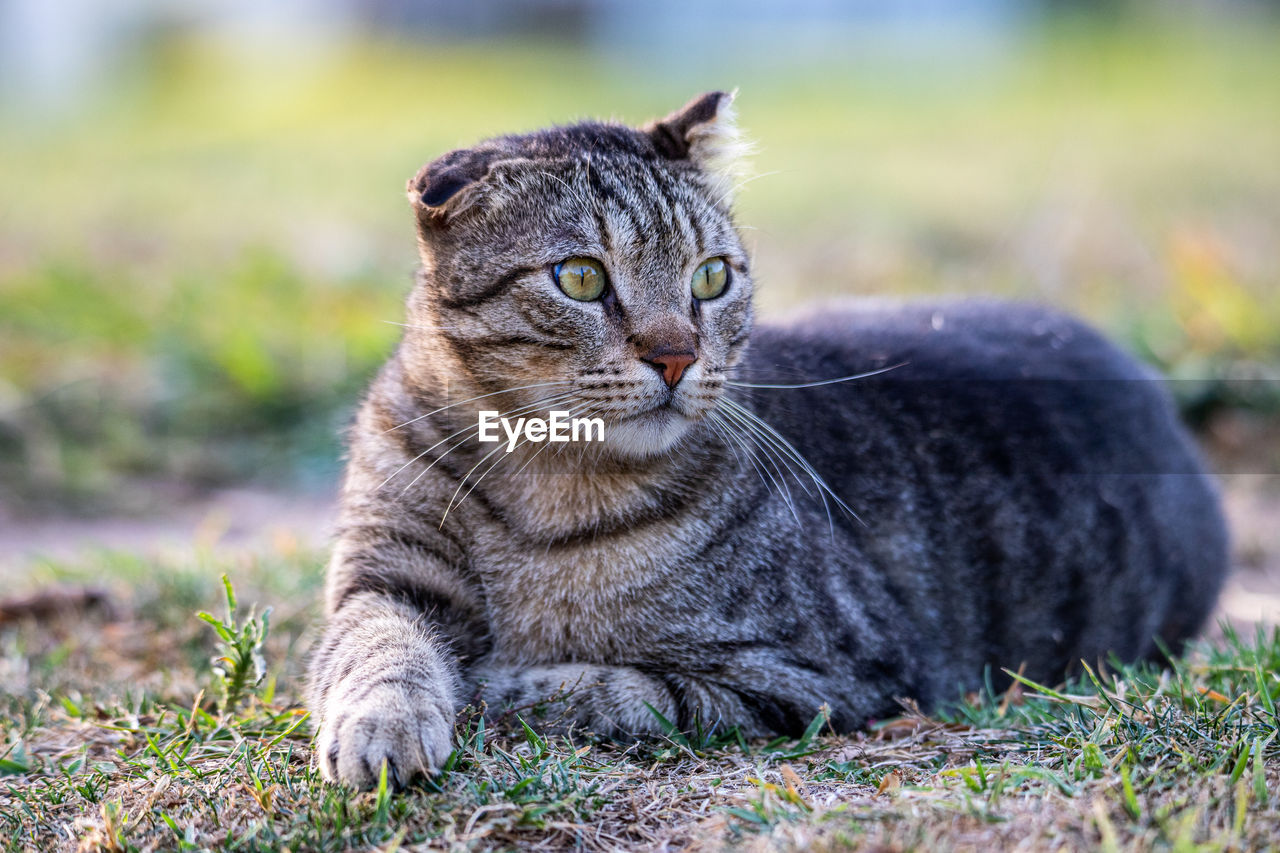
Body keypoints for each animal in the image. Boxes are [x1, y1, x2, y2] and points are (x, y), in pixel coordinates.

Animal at [302, 91, 1228, 783]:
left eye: (712, 277)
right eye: (582, 278)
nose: (677, 354)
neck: (550, 475)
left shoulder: (829, 674)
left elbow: (623, 690)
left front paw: (506, 681)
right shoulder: (385, 574)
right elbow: (375, 649)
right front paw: (384, 725)